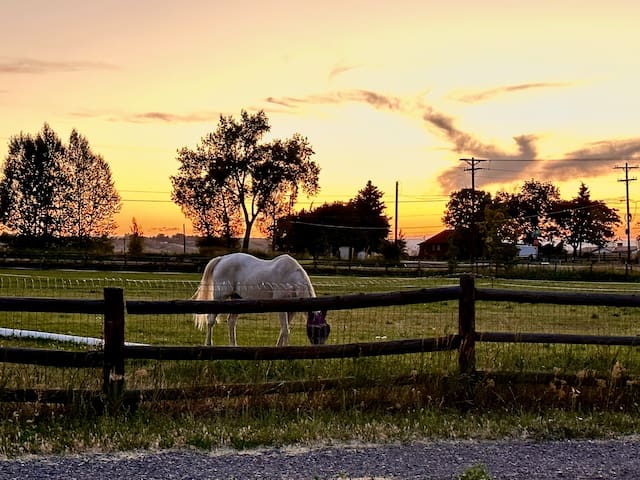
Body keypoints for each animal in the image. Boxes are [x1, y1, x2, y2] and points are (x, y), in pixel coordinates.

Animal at [191, 253, 330, 346]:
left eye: (326, 331)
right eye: (315, 330)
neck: (291, 278)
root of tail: (222, 259)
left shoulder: (291, 311)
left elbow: (283, 330)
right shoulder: (282, 308)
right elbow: (286, 330)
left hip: (237, 298)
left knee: (231, 321)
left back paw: (233, 345)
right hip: (220, 297)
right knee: (210, 320)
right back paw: (208, 344)